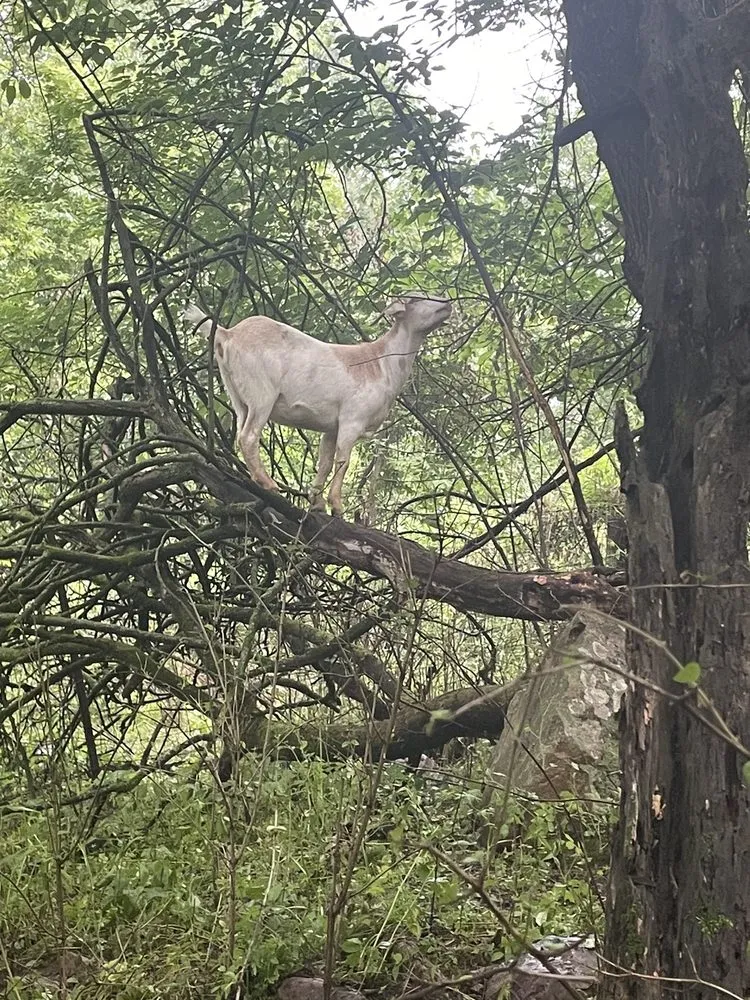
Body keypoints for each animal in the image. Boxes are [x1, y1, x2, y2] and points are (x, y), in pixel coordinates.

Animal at [185, 293, 452, 516]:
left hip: (238, 396)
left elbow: (324, 463)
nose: (448, 303)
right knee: (248, 436)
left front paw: (317, 503)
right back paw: (270, 484)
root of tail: (228, 334)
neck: (380, 364)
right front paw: (337, 506)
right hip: (261, 393)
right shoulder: (352, 419)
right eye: (417, 299)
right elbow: (343, 462)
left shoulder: (331, 427)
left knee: (241, 430)